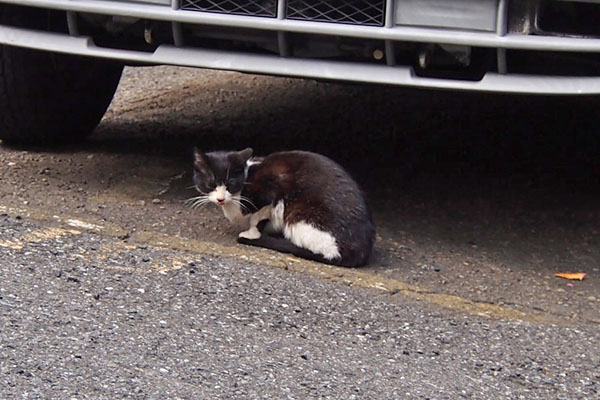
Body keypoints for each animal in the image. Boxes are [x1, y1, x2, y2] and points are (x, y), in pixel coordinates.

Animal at [191, 147, 376, 266]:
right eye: (211, 183)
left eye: (230, 183)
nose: (220, 198)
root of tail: (358, 251)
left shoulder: (272, 192)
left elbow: (259, 217)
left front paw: (253, 233)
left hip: (300, 213)